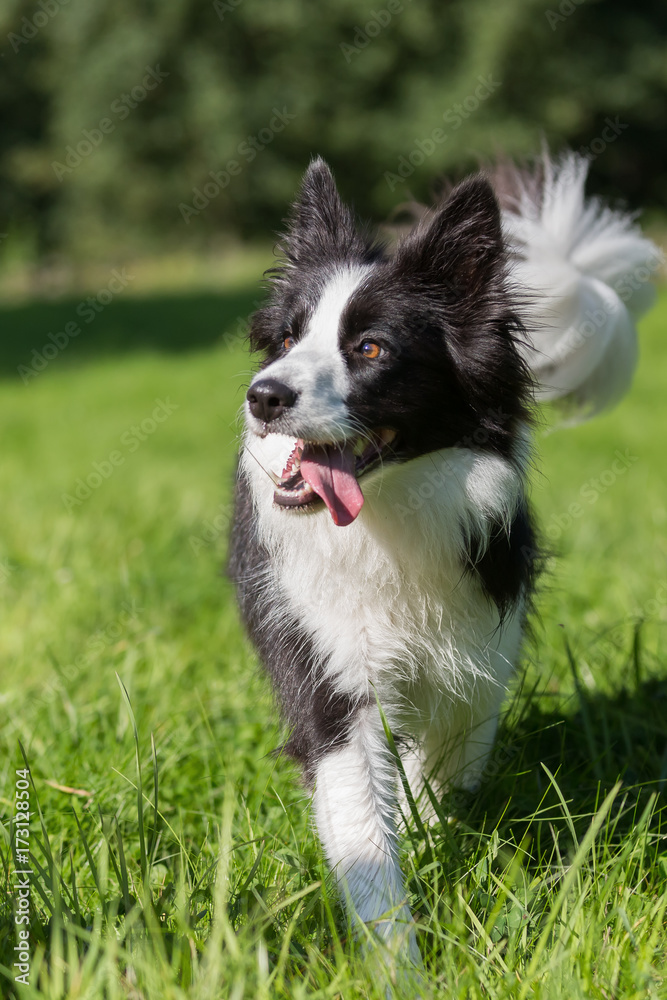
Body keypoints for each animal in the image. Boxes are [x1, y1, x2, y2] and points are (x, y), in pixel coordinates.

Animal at [228, 152, 656, 964]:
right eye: (288, 340)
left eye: (370, 348)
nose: (261, 395)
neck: (387, 519)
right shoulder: (330, 677)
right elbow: (363, 835)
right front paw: (400, 965)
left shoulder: (476, 660)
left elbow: (440, 776)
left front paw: (431, 850)